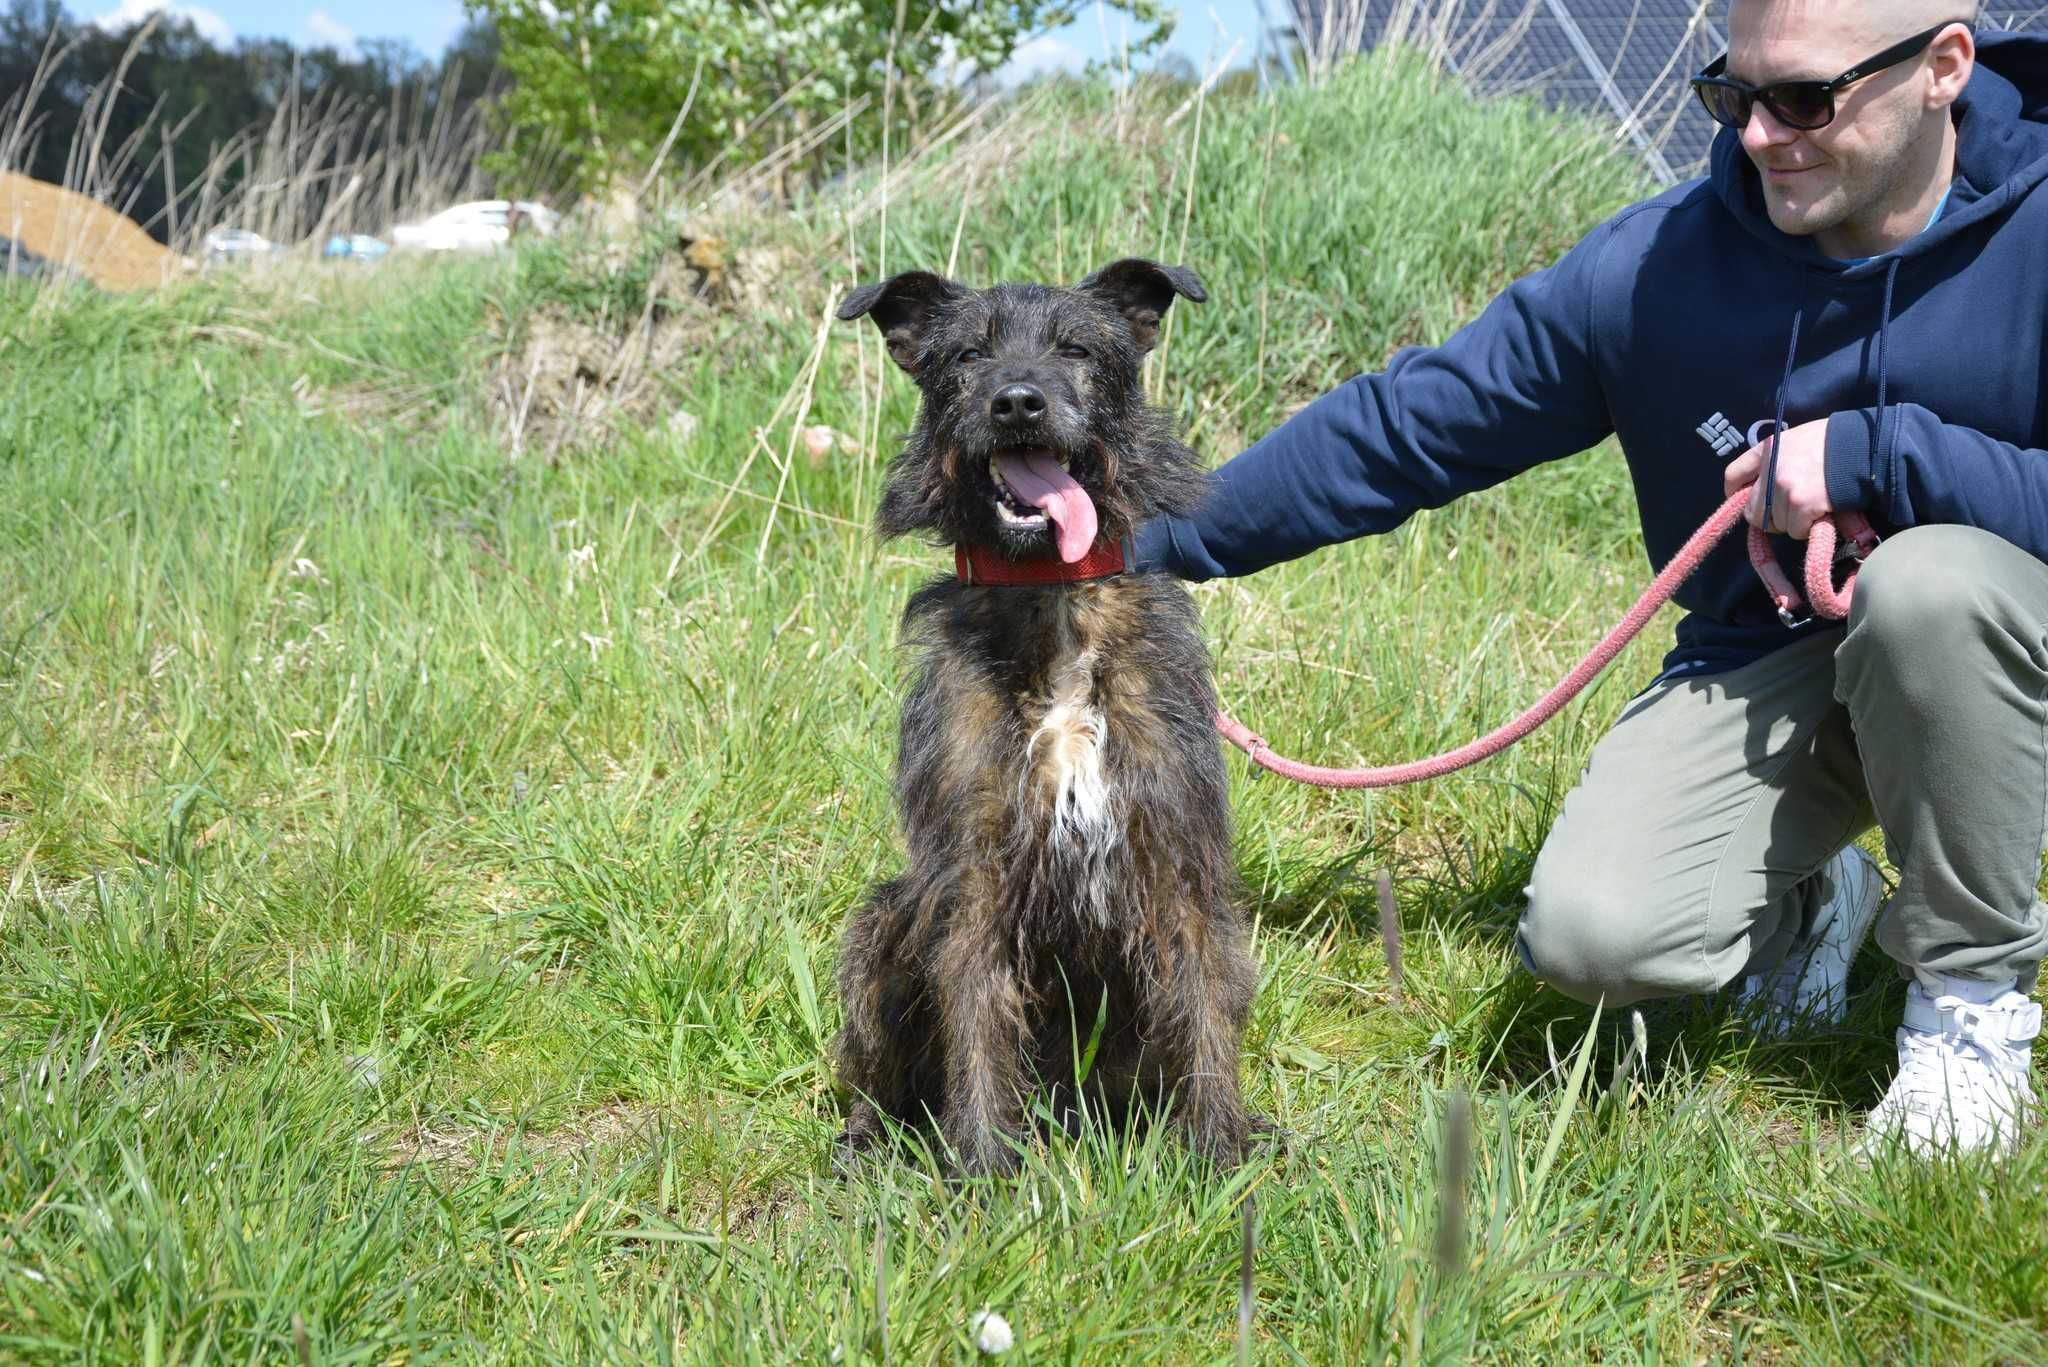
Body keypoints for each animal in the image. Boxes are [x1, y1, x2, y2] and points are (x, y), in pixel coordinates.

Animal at [823, 259, 1253, 1180]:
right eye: (967, 356)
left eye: (1077, 349)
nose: (1017, 401)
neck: (1050, 593)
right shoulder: (971, 870)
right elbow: (977, 1015)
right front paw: (985, 1171)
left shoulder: (1176, 846)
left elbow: (1204, 999)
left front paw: (1221, 1156)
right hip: (884, 918)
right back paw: (869, 1136)